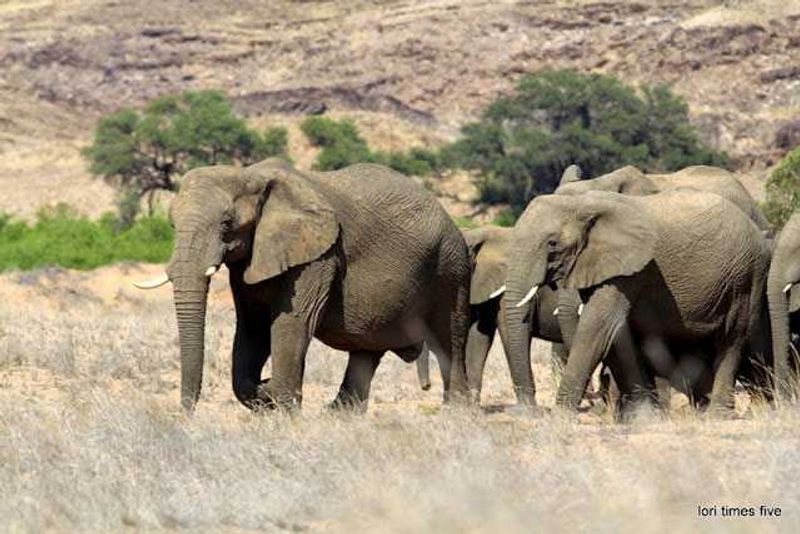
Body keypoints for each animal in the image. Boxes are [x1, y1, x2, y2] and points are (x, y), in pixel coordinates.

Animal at [135, 158, 471, 412]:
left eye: (227, 223)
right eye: (172, 224)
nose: (186, 413)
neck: (250, 174)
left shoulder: (320, 255)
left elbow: (291, 323)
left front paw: (281, 405)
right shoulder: (251, 259)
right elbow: (252, 328)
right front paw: (264, 391)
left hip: (450, 268)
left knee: (450, 341)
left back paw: (456, 414)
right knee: (366, 352)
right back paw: (340, 416)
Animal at [503, 189, 770, 415]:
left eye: (552, 244)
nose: (534, 410)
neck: (582, 202)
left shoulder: (631, 270)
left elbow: (600, 325)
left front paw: (560, 417)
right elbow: (617, 334)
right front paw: (645, 416)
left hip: (746, 276)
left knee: (732, 339)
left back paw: (717, 415)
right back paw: (701, 409)